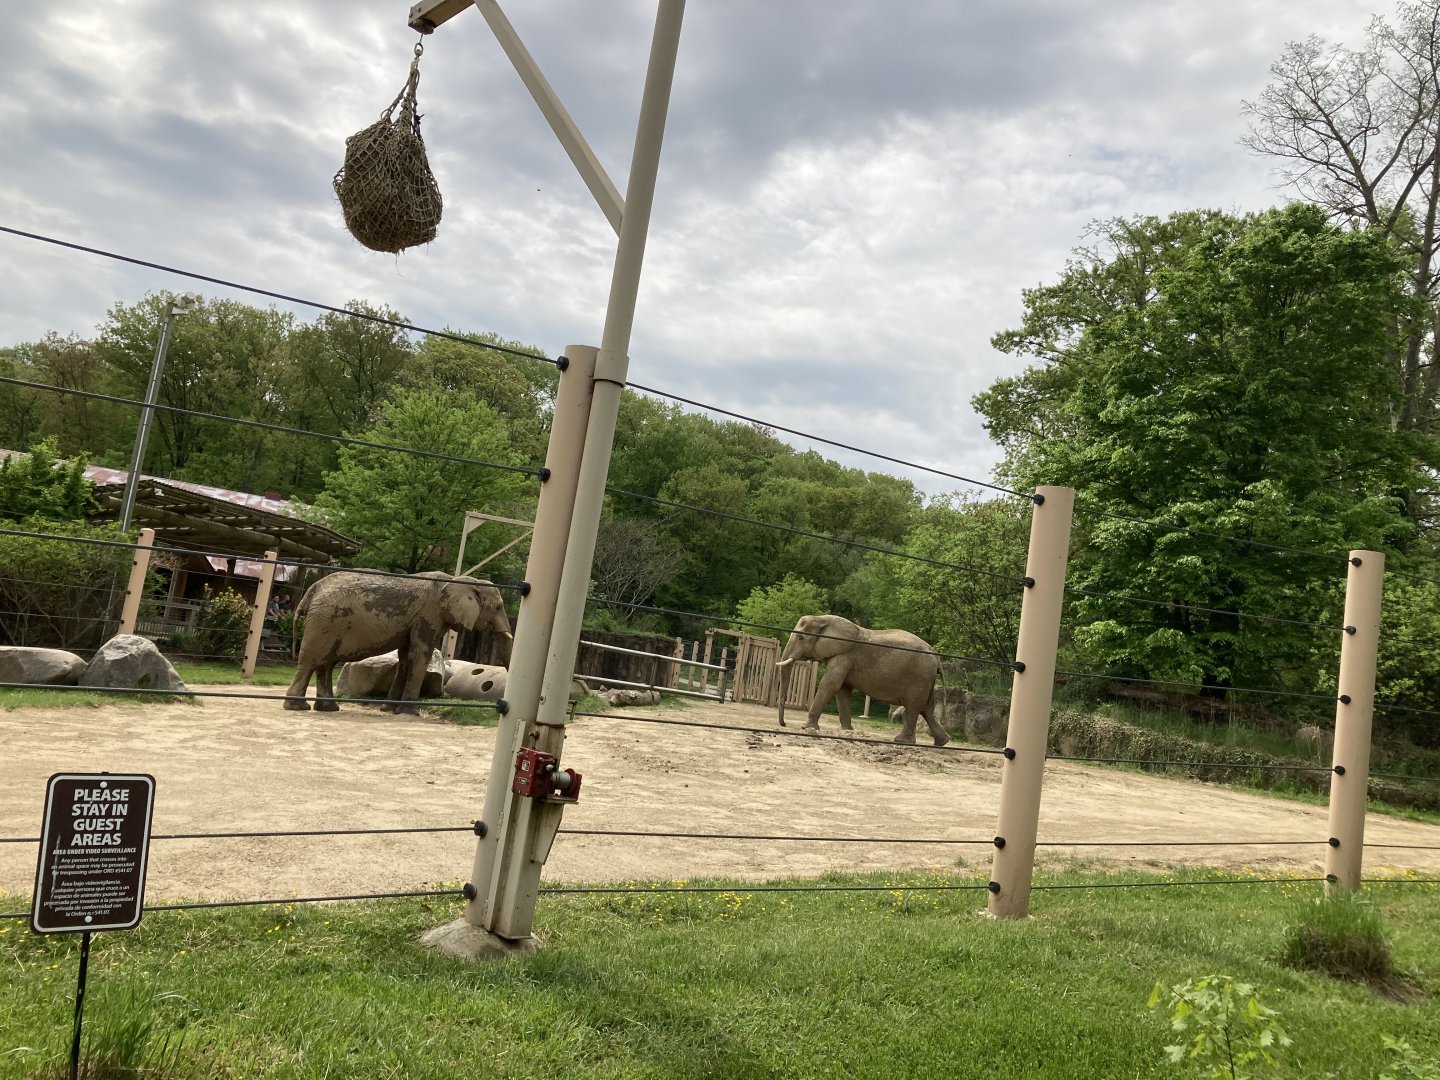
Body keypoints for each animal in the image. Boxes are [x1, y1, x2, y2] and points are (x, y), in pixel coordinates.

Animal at [283, 570, 512, 715]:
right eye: (499, 607)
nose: (502, 706)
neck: (457, 579)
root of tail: (312, 589)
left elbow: (406, 657)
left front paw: (388, 709)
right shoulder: (428, 614)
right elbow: (420, 654)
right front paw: (410, 713)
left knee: (326, 663)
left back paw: (328, 708)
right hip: (325, 621)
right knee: (311, 660)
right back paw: (297, 707)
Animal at [775, 614, 948, 746]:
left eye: (800, 637)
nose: (784, 724)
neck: (823, 618)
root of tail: (937, 656)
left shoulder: (845, 654)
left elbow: (830, 685)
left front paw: (806, 728)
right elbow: (842, 690)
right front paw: (847, 731)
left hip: (920, 676)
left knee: (913, 706)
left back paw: (902, 741)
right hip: (926, 679)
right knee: (926, 708)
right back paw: (942, 742)